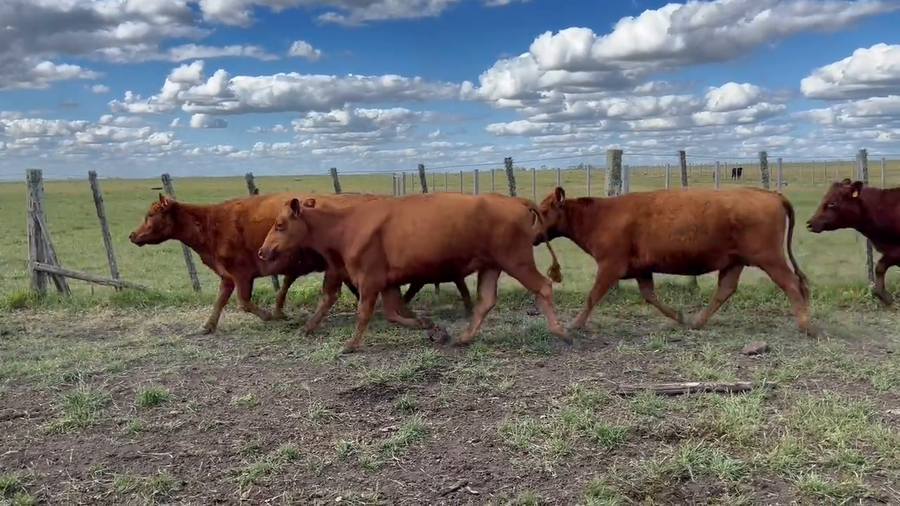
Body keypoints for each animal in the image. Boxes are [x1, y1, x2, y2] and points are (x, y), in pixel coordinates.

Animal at [257, 192, 566, 354]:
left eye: (280, 225)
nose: (262, 251)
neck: (345, 226)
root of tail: (514, 200)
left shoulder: (369, 280)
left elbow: (365, 314)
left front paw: (350, 345)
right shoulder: (386, 283)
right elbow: (392, 313)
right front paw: (429, 326)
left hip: (517, 261)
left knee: (543, 286)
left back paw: (561, 331)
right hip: (491, 266)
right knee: (486, 301)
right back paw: (464, 338)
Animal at [535, 186, 818, 336]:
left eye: (544, 209)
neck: (598, 216)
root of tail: (771, 193)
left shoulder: (609, 266)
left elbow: (592, 297)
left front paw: (574, 324)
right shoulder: (641, 270)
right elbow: (650, 296)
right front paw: (679, 317)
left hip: (770, 258)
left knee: (792, 284)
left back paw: (805, 325)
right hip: (735, 261)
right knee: (725, 290)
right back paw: (696, 322)